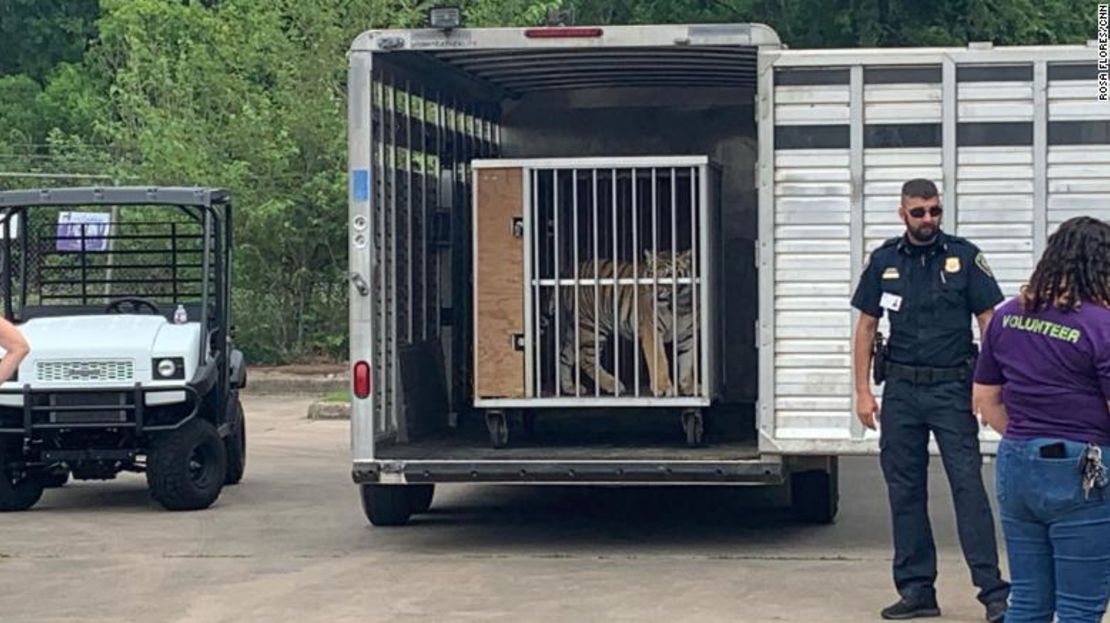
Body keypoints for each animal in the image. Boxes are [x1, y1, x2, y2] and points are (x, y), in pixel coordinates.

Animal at [543, 246, 692, 395]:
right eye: (651, 274)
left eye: (668, 275)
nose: (654, 291)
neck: (677, 304)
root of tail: (567, 271)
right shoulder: (652, 331)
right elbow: (659, 360)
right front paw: (663, 388)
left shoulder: (688, 336)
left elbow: (688, 360)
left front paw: (689, 386)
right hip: (592, 326)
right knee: (586, 359)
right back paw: (613, 384)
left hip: (573, 329)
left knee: (564, 357)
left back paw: (570, 387)